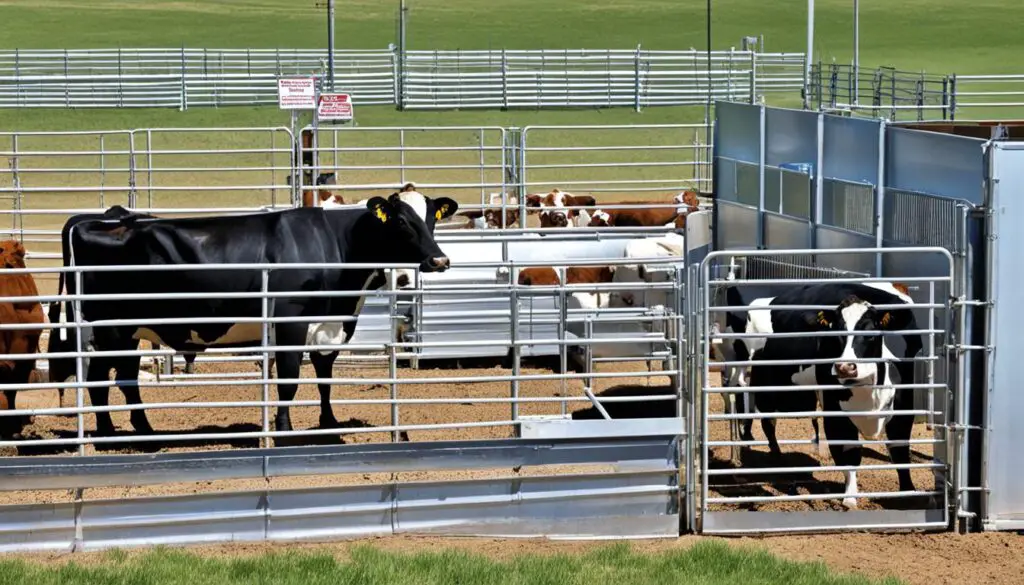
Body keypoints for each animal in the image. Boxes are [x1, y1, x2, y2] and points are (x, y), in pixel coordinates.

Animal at [48, 192, 456, 434]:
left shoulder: (329, 325)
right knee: (99, 379)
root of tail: (94, 220)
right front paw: (284, 429)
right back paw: (108, 433)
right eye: (401, 221)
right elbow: (289, 380)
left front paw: (329, 423)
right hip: (109, 328)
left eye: (432, 219)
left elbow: (324, 378)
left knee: (125, 379)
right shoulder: (290, 319)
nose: (439, 260)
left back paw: (143, 430)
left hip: (131, 331)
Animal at [716, 282, 925, 508]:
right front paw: (850, 497)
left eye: (871, 332)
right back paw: (751, 459)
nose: (845, 367)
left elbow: (900, 451)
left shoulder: (904, 404)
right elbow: (849, 452)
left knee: (761, 415)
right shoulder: (835, 410)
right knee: (743, 405)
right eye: (835, 334)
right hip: (743, 369)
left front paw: (908, 492)